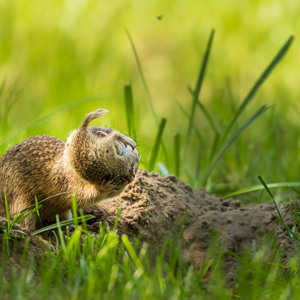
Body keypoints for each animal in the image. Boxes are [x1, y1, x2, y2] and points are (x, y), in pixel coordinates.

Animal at [0, 109, 140, 231]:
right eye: (118, 151)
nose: (130, 173)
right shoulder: (71, 183)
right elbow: (91, 192)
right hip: (23, 206)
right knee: (25, 224)